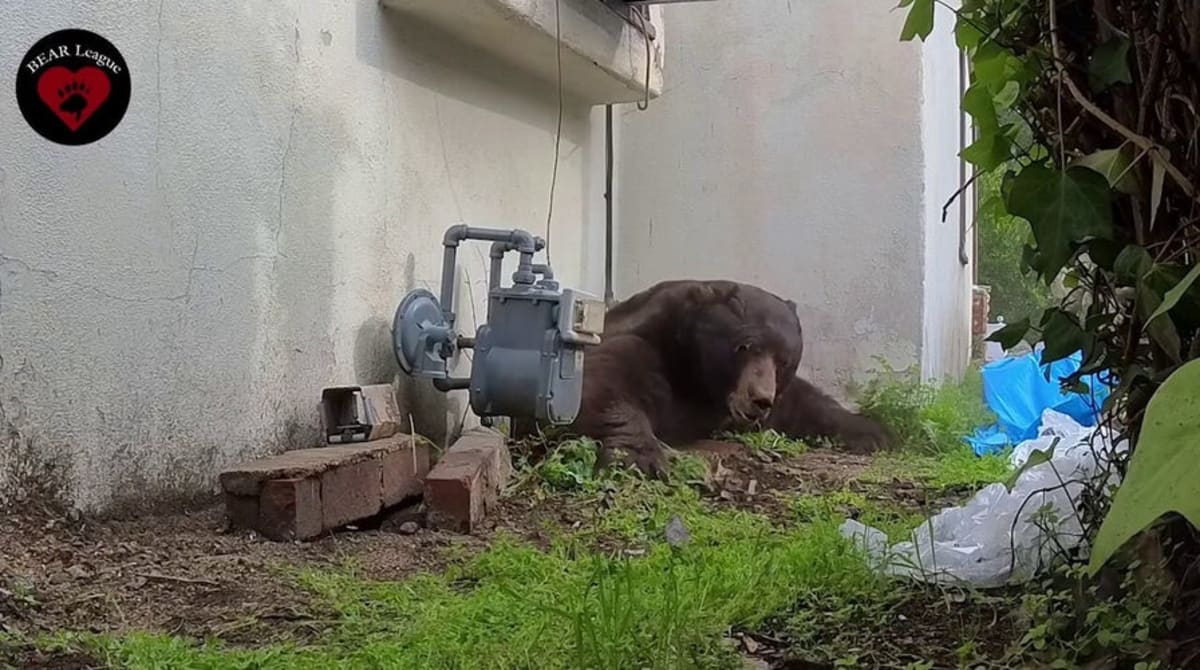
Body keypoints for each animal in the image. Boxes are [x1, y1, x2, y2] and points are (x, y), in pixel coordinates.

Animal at [569, 279, 893, 477]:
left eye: (784, 359)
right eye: (745, 346)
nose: (759, 399)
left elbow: (806, 404)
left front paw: (874, 433)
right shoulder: (643, 350)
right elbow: (602, 387)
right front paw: (641, 457)